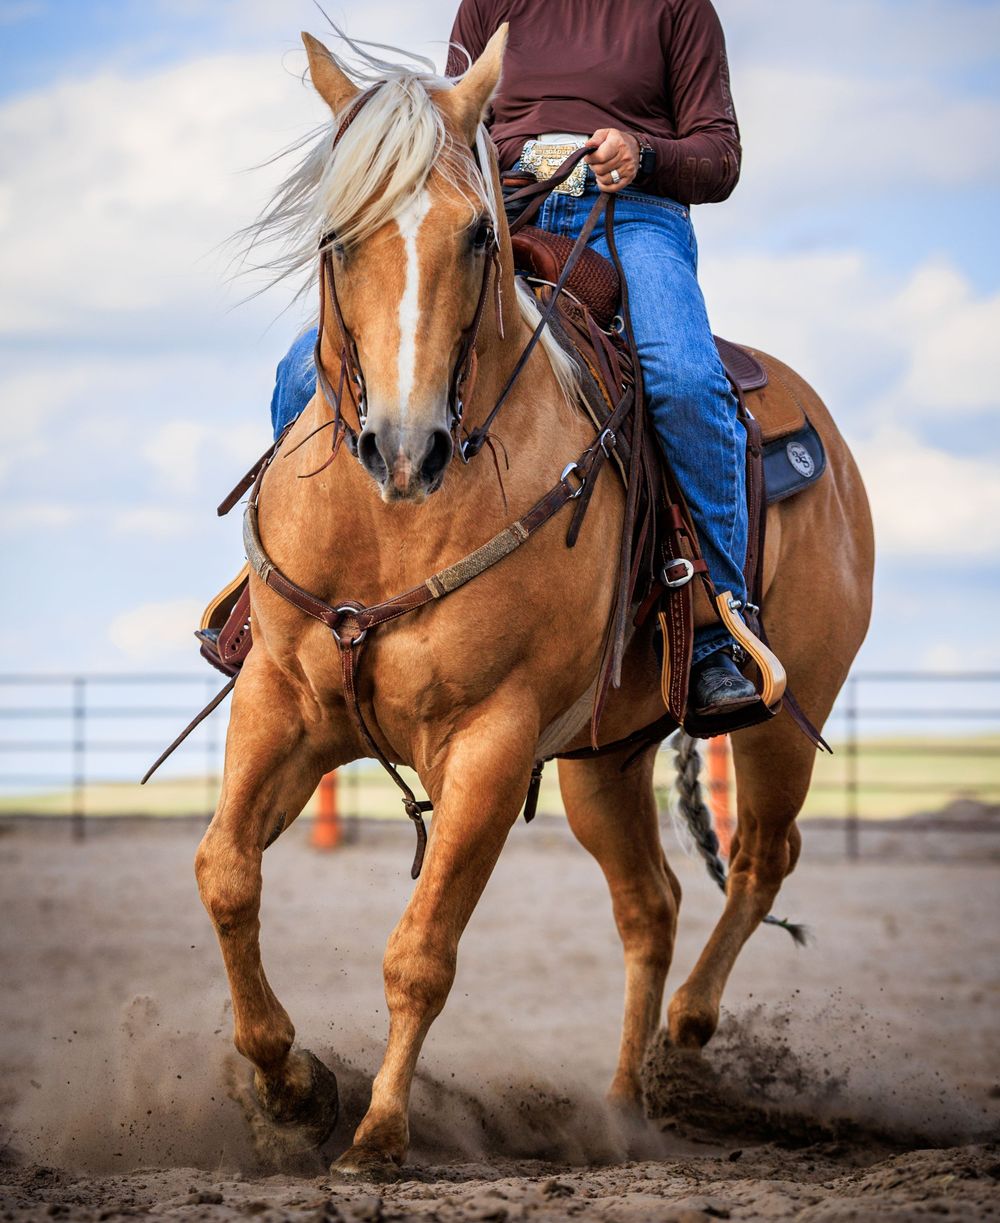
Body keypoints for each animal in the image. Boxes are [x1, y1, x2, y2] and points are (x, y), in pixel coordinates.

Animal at [193, 26, 874, 1180]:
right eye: (335, 234)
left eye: (477, 234)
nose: (406, 446)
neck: (391, 517)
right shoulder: (281, 703)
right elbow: (226, 873)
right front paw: (289, 1088)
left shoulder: (491, 740)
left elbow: (421, 949)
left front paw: (378, 1131)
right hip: (604, 757)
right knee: (651, 905)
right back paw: (622, 1106)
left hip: (786, 715)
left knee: (757, 861)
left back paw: (686, 1037)